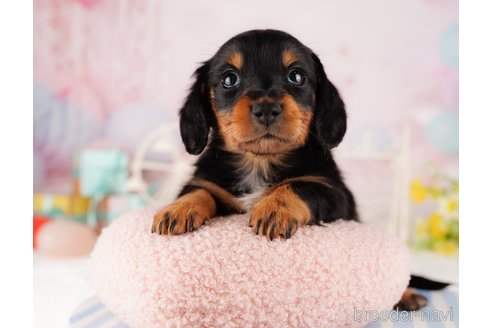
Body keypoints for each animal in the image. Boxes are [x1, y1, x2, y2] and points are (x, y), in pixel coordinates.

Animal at [151, 29, 434, 312]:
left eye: (296, 76)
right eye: (229, 79)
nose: (266, 108)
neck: (260, 162)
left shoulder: (335, 193)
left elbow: (299, 185)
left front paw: (274, 209)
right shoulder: (207, 182)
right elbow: (199, 191)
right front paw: (178, 210)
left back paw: (407, 294)